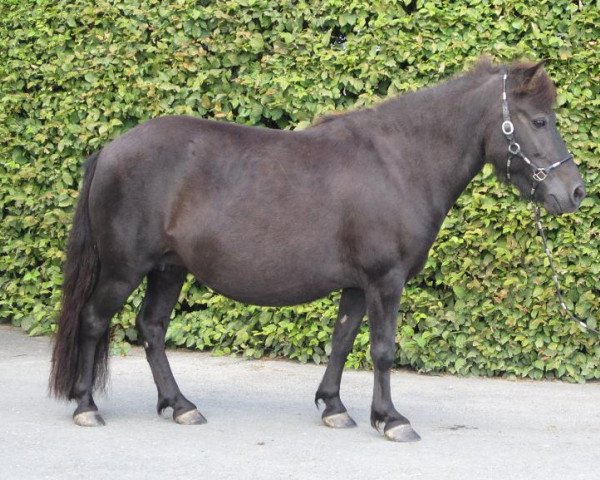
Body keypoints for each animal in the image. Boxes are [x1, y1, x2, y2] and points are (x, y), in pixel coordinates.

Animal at [49, 58, 584, 440]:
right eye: (539, 120)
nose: (575, 192)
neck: (399, 163)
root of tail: (111, 149)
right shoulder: (385, 281)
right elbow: (383, 350)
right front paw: (391, 420)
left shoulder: (357, 286)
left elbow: (343, 341)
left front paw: (335, 407)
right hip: (124, 268)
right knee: (94, 321)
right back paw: (86, 407)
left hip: (168, 269)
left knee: (152, 328)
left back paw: (181, 407)